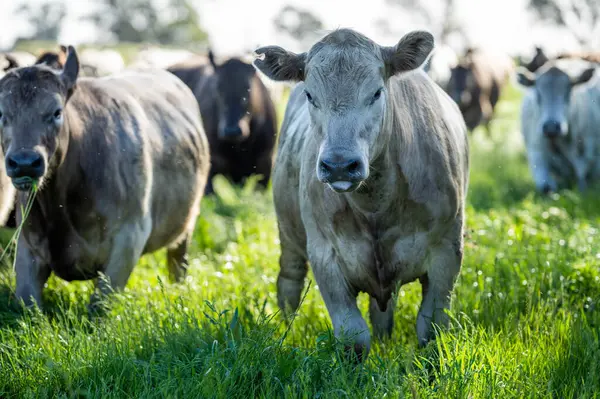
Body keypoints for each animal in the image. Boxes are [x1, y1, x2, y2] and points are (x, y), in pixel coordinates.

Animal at [0, 46, 211, 310]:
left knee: (177, 262)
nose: (24, 162)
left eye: (57, 112)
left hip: (187, 224)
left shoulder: (129, 238)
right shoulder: (27, 246)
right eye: (2, 114)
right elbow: (28, 306)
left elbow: (99, 307)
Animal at [253, 28, 468, 360]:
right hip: (288, 234)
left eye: (377, 93)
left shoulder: (447, 252)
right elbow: (353, 336)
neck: (377, 204)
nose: (339, 165)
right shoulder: (325, 255)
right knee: (289, 283)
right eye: (310, 95)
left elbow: (430, 329)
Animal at [516, 59, 600, 194]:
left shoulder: (589, 155)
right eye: (538, 94)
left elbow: (583, 184)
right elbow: (546, 188)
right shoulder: (537, 154)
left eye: (568, 92)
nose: (551, 127)